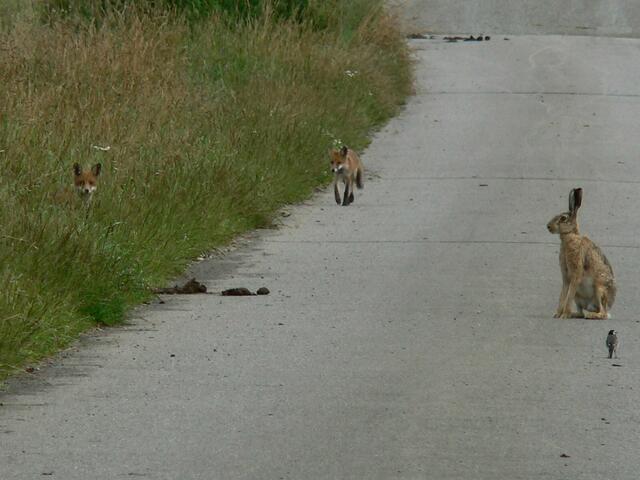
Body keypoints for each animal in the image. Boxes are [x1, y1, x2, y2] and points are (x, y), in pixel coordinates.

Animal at [546, 188, 616, 319]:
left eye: (563, 218)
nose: (548, 226)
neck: (570, 236)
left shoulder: (576, 273)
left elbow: (568, 296)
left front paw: (564, 315)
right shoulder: (566, 277)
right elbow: (563, 294)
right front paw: (558, 314)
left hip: (599, 289)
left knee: (603, 313)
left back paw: (591, 315)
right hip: (578, 297)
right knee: (580, 312)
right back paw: (575, 314)